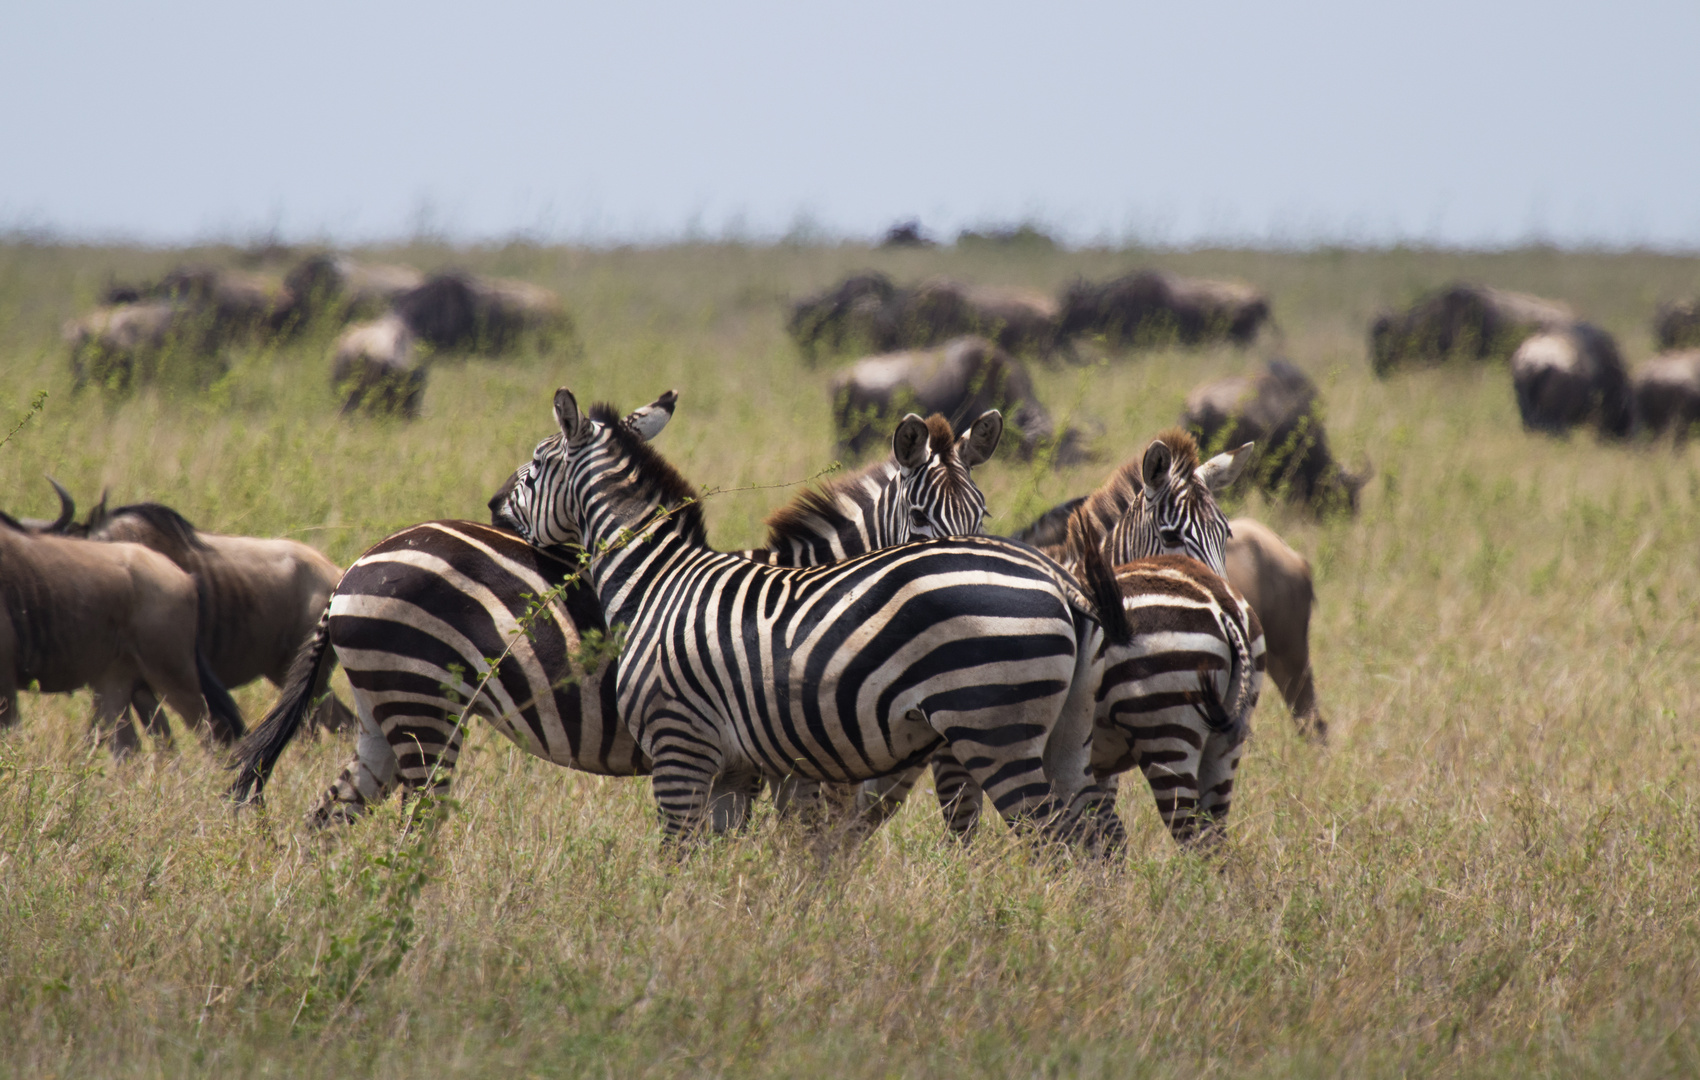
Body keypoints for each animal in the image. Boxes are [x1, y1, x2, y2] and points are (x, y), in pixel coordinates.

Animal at [229, 397, 1006, 826]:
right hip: (424, 707)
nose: (971, 587)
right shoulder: (791, 767)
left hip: (382, 713)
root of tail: (357, 565)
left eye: (982, 515)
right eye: (919, 519)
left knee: (328, 818)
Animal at [493, 389, 1128, 853]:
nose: (495, 507)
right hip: (1065, 738)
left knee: (1053, 842)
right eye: (920, 514)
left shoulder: (684, 748)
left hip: (995, 733)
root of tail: (1060, 580)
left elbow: (688, 859)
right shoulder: (761, 765)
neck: (659, 578)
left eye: (537, 464)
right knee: (1095, 844)